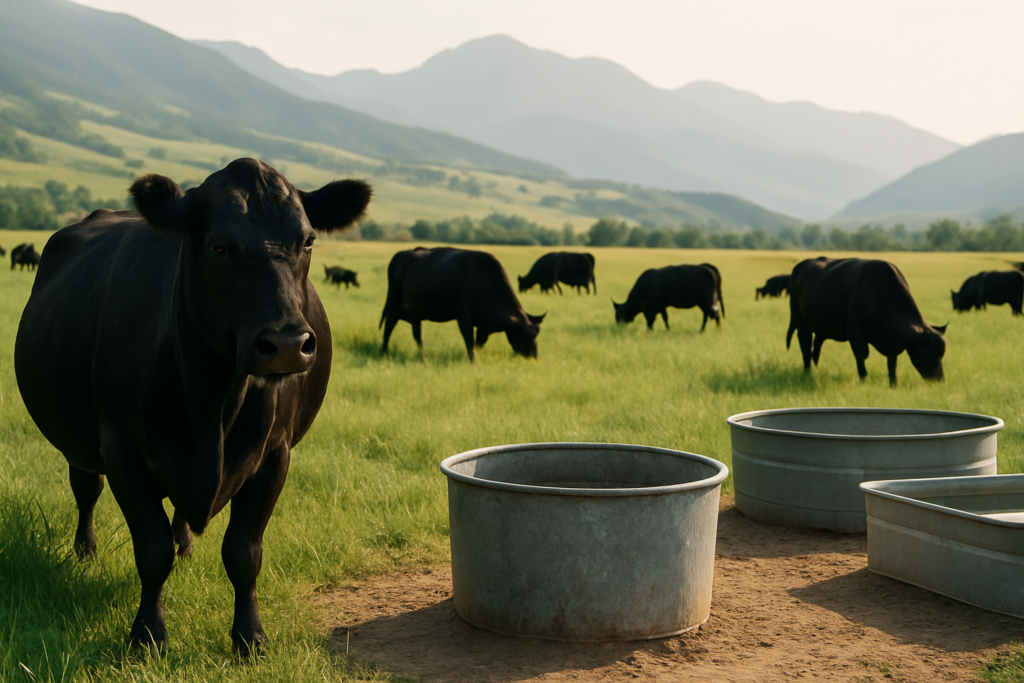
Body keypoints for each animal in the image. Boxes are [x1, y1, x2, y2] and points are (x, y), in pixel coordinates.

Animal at [14, 158, 372, 657]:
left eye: (308, 241)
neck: (212, 404)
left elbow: (243, 552)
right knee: (86, 490)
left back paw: (185, 544)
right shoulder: (122, 451)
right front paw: (147, 636)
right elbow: (151, 550)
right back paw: (85, 551)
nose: (285, 344)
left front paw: (250, 639)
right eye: (218, 245)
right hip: (79, 442)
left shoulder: (274, 454)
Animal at [381, 246, 544, 361]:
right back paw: (384, 351)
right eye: (523, 335)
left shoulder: (484, 325)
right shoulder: (464, 316)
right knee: (389, 326)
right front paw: (473, 360)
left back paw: (422, 354)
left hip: (416, 314)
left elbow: (479, 342)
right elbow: (469, 340)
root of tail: (403, 253)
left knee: (417, 334)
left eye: (536, 335)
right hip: (394, 305)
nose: (534, 357)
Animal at [786, 257, 946, 386]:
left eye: (941, 354)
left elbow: (892, 364)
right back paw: (807, 372)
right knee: (805, 345)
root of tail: (801, 265)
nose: (939, 379)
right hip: (801, 322)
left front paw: (893, 384)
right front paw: (863, 381)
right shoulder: (856, 334)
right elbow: (861, 357)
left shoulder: (892, 341)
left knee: (815, 347)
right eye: (927, 353)